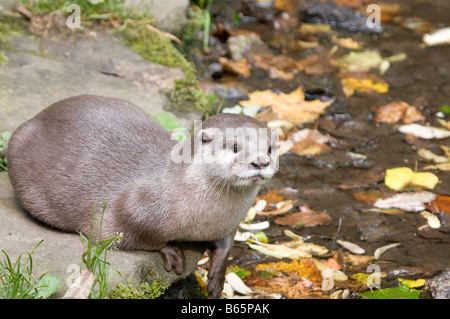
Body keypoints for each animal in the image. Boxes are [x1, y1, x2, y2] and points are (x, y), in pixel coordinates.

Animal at [7, 95, 278, 300]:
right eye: (235, 147)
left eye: (269, 149)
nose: (260, 162)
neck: (205, 217)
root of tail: (36, 117)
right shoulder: (132, 209)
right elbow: (142, 236)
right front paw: (172, 253)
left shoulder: (229, 222)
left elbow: (226, 244)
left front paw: (217, 277)